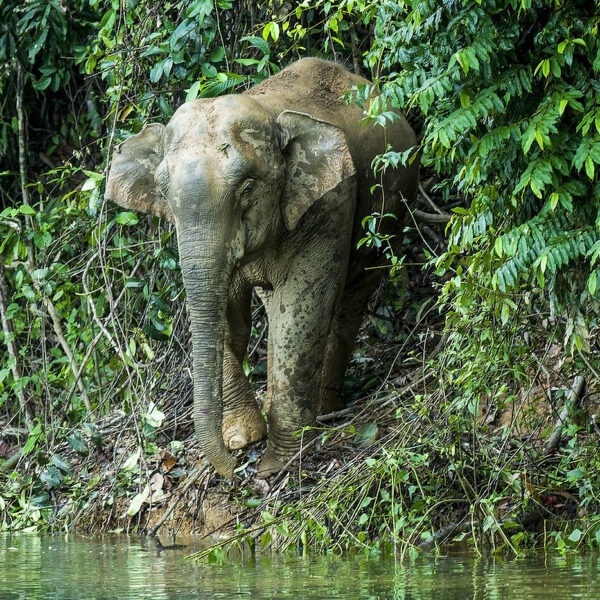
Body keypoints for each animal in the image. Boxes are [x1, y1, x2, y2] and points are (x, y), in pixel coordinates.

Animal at [105, 56, 420, 478]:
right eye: (164, 193)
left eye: (247, 188)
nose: (233, 472)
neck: (269, 112)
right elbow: (228, 315)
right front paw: (244, 436)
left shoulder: (331, 202)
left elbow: (300, 313)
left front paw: (277, 463)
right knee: (277, 306)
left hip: (394, 210)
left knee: (347, 302)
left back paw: (325, 412)